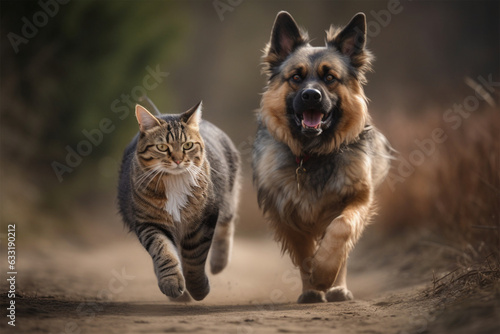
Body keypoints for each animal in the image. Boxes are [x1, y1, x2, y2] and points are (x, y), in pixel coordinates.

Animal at [119, 102, 240, 300]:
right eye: (162, 147)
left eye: (187, 145)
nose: (177, 159)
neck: (174, 181)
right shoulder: (149, 223)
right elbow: (163, 252)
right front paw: (172, 283)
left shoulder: (202, 221)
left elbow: (194, 258)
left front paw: (198, 289)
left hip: (227, 194)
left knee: (226, 223)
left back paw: (218, 264)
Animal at [252, 11, 392, 302]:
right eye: (296, 77)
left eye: (330, 78)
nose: (311, 95)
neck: (311, 155)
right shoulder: (285, 213)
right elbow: (304, 253)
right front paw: (313, 285)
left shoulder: (357, 199)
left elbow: (341, 230)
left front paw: (326, 274)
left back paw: (337, 288)